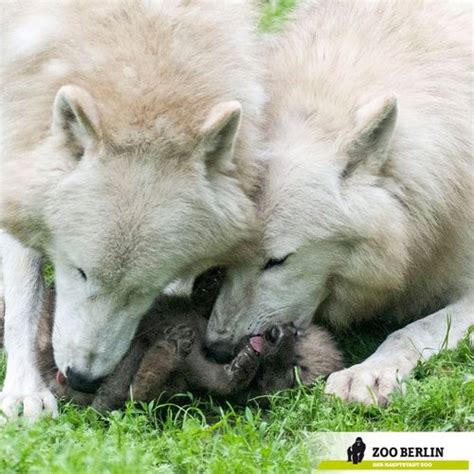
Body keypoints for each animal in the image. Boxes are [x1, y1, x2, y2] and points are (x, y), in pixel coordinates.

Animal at [0, 0, 264, 420]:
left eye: (143, 290)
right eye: (80, 272)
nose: (82, 380)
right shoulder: (16, 150)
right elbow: (24, 296)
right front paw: (26, 391)